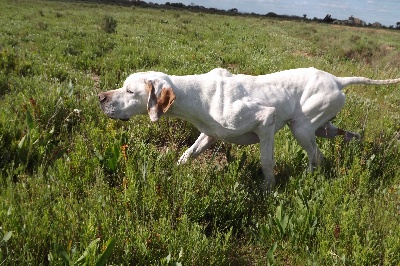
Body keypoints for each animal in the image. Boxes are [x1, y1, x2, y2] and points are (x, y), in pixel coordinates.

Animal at [97, 67, 400, 190]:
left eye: (129, 91)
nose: (100, 97)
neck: (196, 96)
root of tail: (337, 80)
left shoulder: (266, 120)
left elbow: (266, 163)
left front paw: (268, 189)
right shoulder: (209, 135)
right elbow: (185, 155)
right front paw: (171, 171)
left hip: (301, 129)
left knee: (316, 157)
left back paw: (305, 179)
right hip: (321, 128)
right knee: (344, 140)